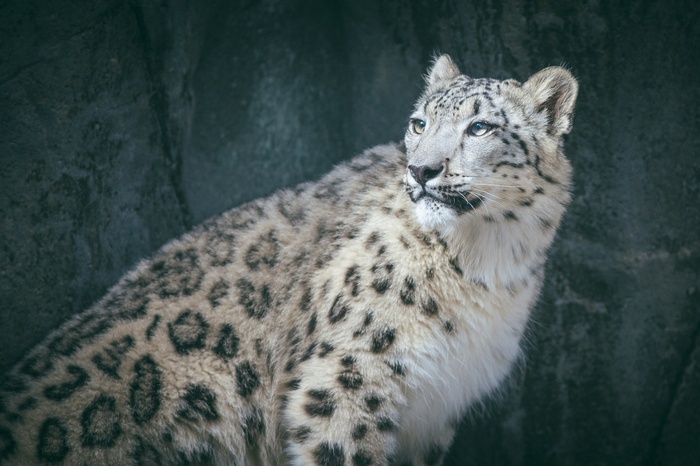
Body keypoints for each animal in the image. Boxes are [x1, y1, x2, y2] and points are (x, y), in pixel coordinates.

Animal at [0, 54, 578, 465]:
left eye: (479, 128)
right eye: (418, 122)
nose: (421, 170)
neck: (487, 263)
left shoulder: (434, 412)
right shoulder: (346, 379)